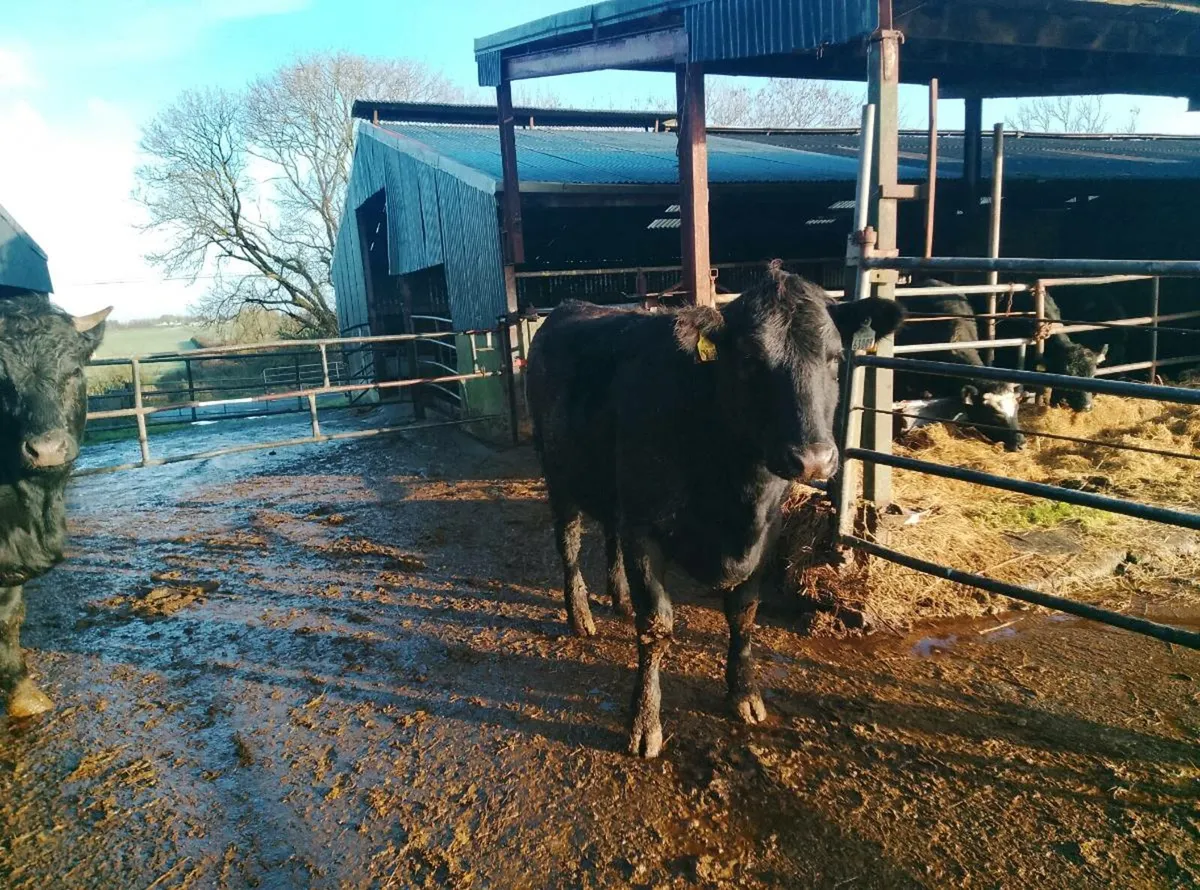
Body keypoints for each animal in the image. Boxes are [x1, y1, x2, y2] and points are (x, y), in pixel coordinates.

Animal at [526, 264, 903, 757]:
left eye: (835, 358)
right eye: (749, 359)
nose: (813, 459)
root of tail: (570, 307)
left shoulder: (767, 529)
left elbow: (744, 614)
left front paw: (744, 694)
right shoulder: (644, 528)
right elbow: (657, 625)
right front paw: (644, 722)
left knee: (608, 533)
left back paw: (620, 598)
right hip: (558, 476)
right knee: (568, 544)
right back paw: (580, 615)